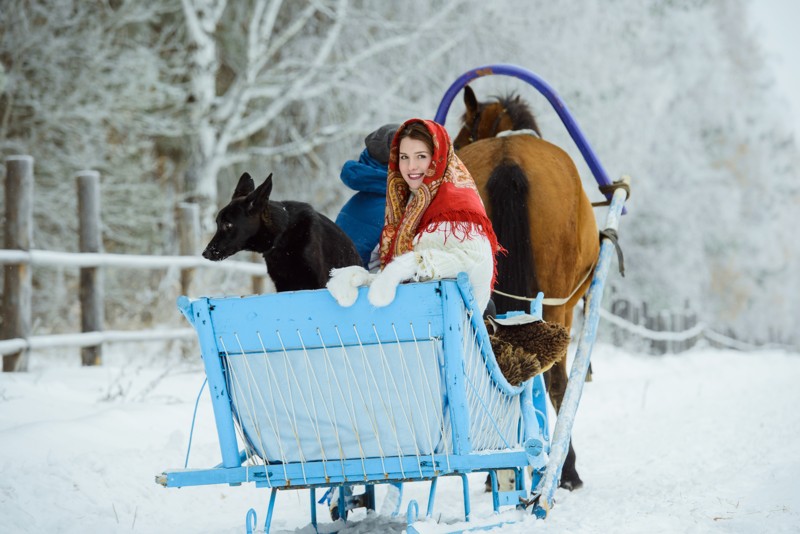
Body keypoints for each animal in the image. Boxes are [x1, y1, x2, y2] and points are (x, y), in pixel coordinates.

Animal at [202, 173, 360, 294]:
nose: (205, 253)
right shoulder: (283, 286)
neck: (283, 237)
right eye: (217, 223)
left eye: (228, 224)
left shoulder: (316, 283)